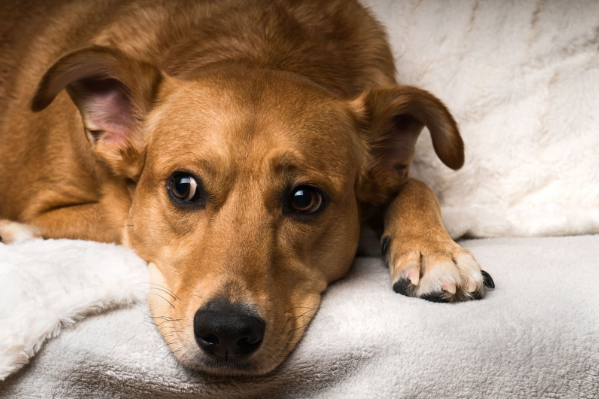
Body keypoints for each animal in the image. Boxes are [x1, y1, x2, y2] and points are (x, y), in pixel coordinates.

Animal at [2, 0, 494, 376]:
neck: (261, 49)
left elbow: (415, 183)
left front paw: (436, 249)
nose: (226, 333)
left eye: (304, 199)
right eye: (183, 187)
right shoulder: (53, 209)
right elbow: (119, 220)